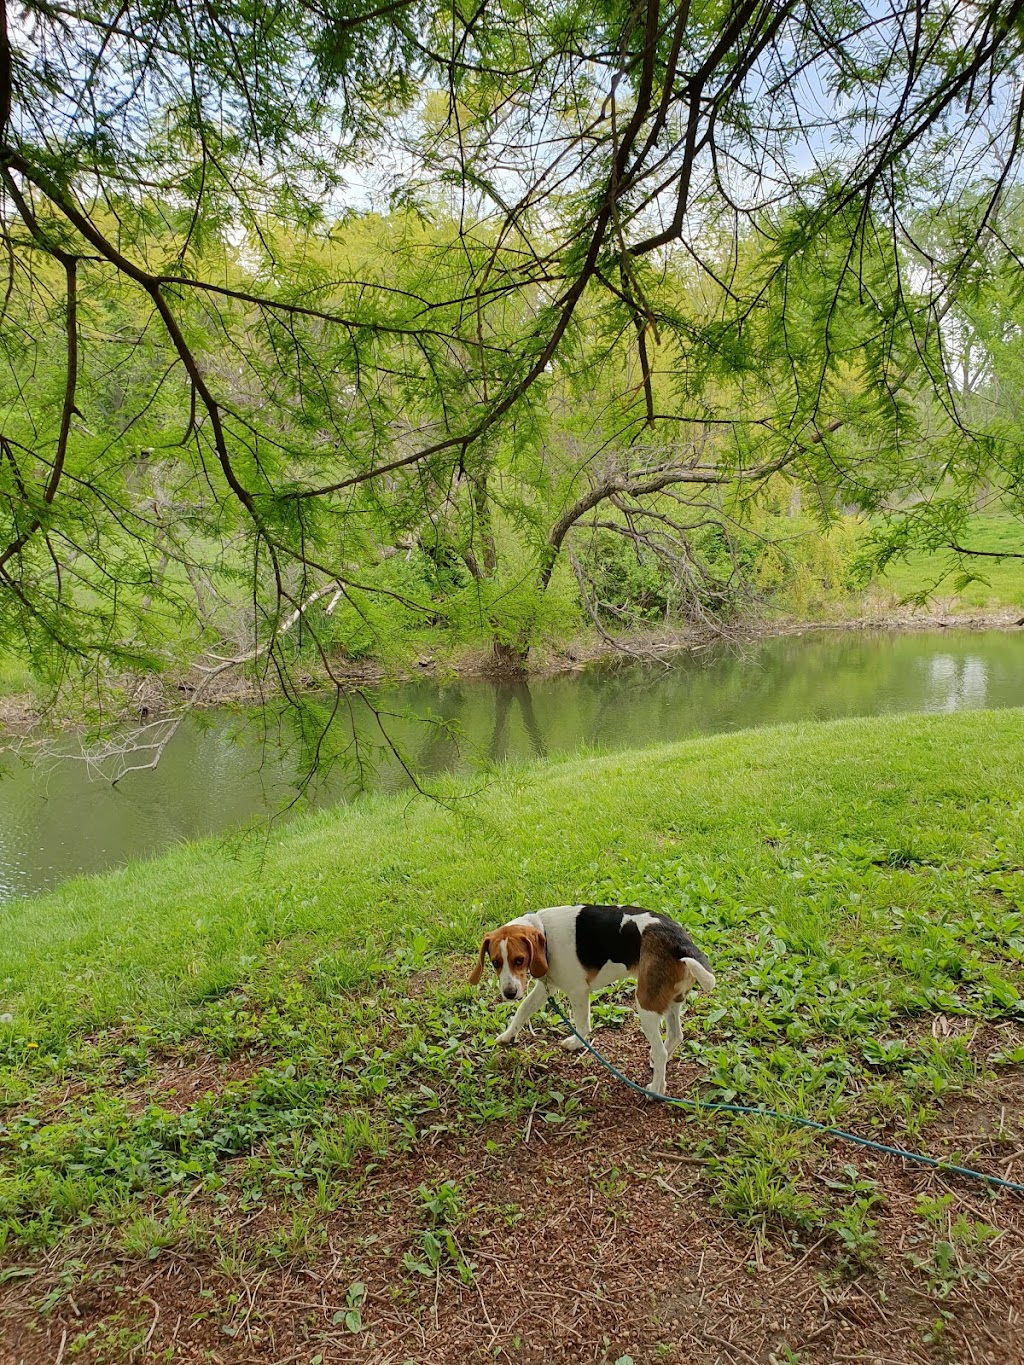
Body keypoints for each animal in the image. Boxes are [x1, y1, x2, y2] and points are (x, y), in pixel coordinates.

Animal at [472, 906, 715, 1097]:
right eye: (495, 962)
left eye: (519, 960)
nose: (509, 993)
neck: (545, 934)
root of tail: (680, 942)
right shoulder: (546, 986)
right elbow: (523, 1010)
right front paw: (507, 1036)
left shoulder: (577, 991)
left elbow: (582, 1026)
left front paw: (576, 1043)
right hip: (670, 1000)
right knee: (675, 1035)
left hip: (646, 1004)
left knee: (661, 1050)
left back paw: (655, 1089)